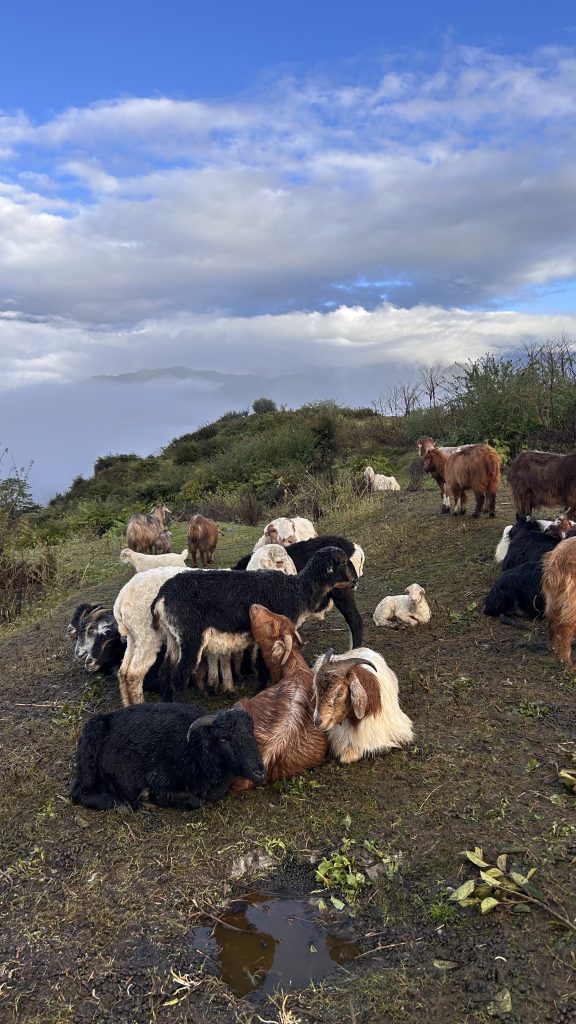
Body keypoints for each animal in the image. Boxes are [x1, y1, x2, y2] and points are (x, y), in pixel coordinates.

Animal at [70, 704, 266, 811]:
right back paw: (120, 804)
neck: (196, 749)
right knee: (79, 793)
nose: (260, 772)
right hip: (90, 753)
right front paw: (146, 797)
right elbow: (194, 801)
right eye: (224, 738)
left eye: (251, 732)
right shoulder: (159, 779)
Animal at [150, 547, 359, 705]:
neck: (296, 592)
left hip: (173, 637)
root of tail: (162, 596)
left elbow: (261, 662)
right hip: (191, 636)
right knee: (178, 676)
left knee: (164, 672)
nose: (355, 581)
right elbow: (265, 663)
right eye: (343, 562)